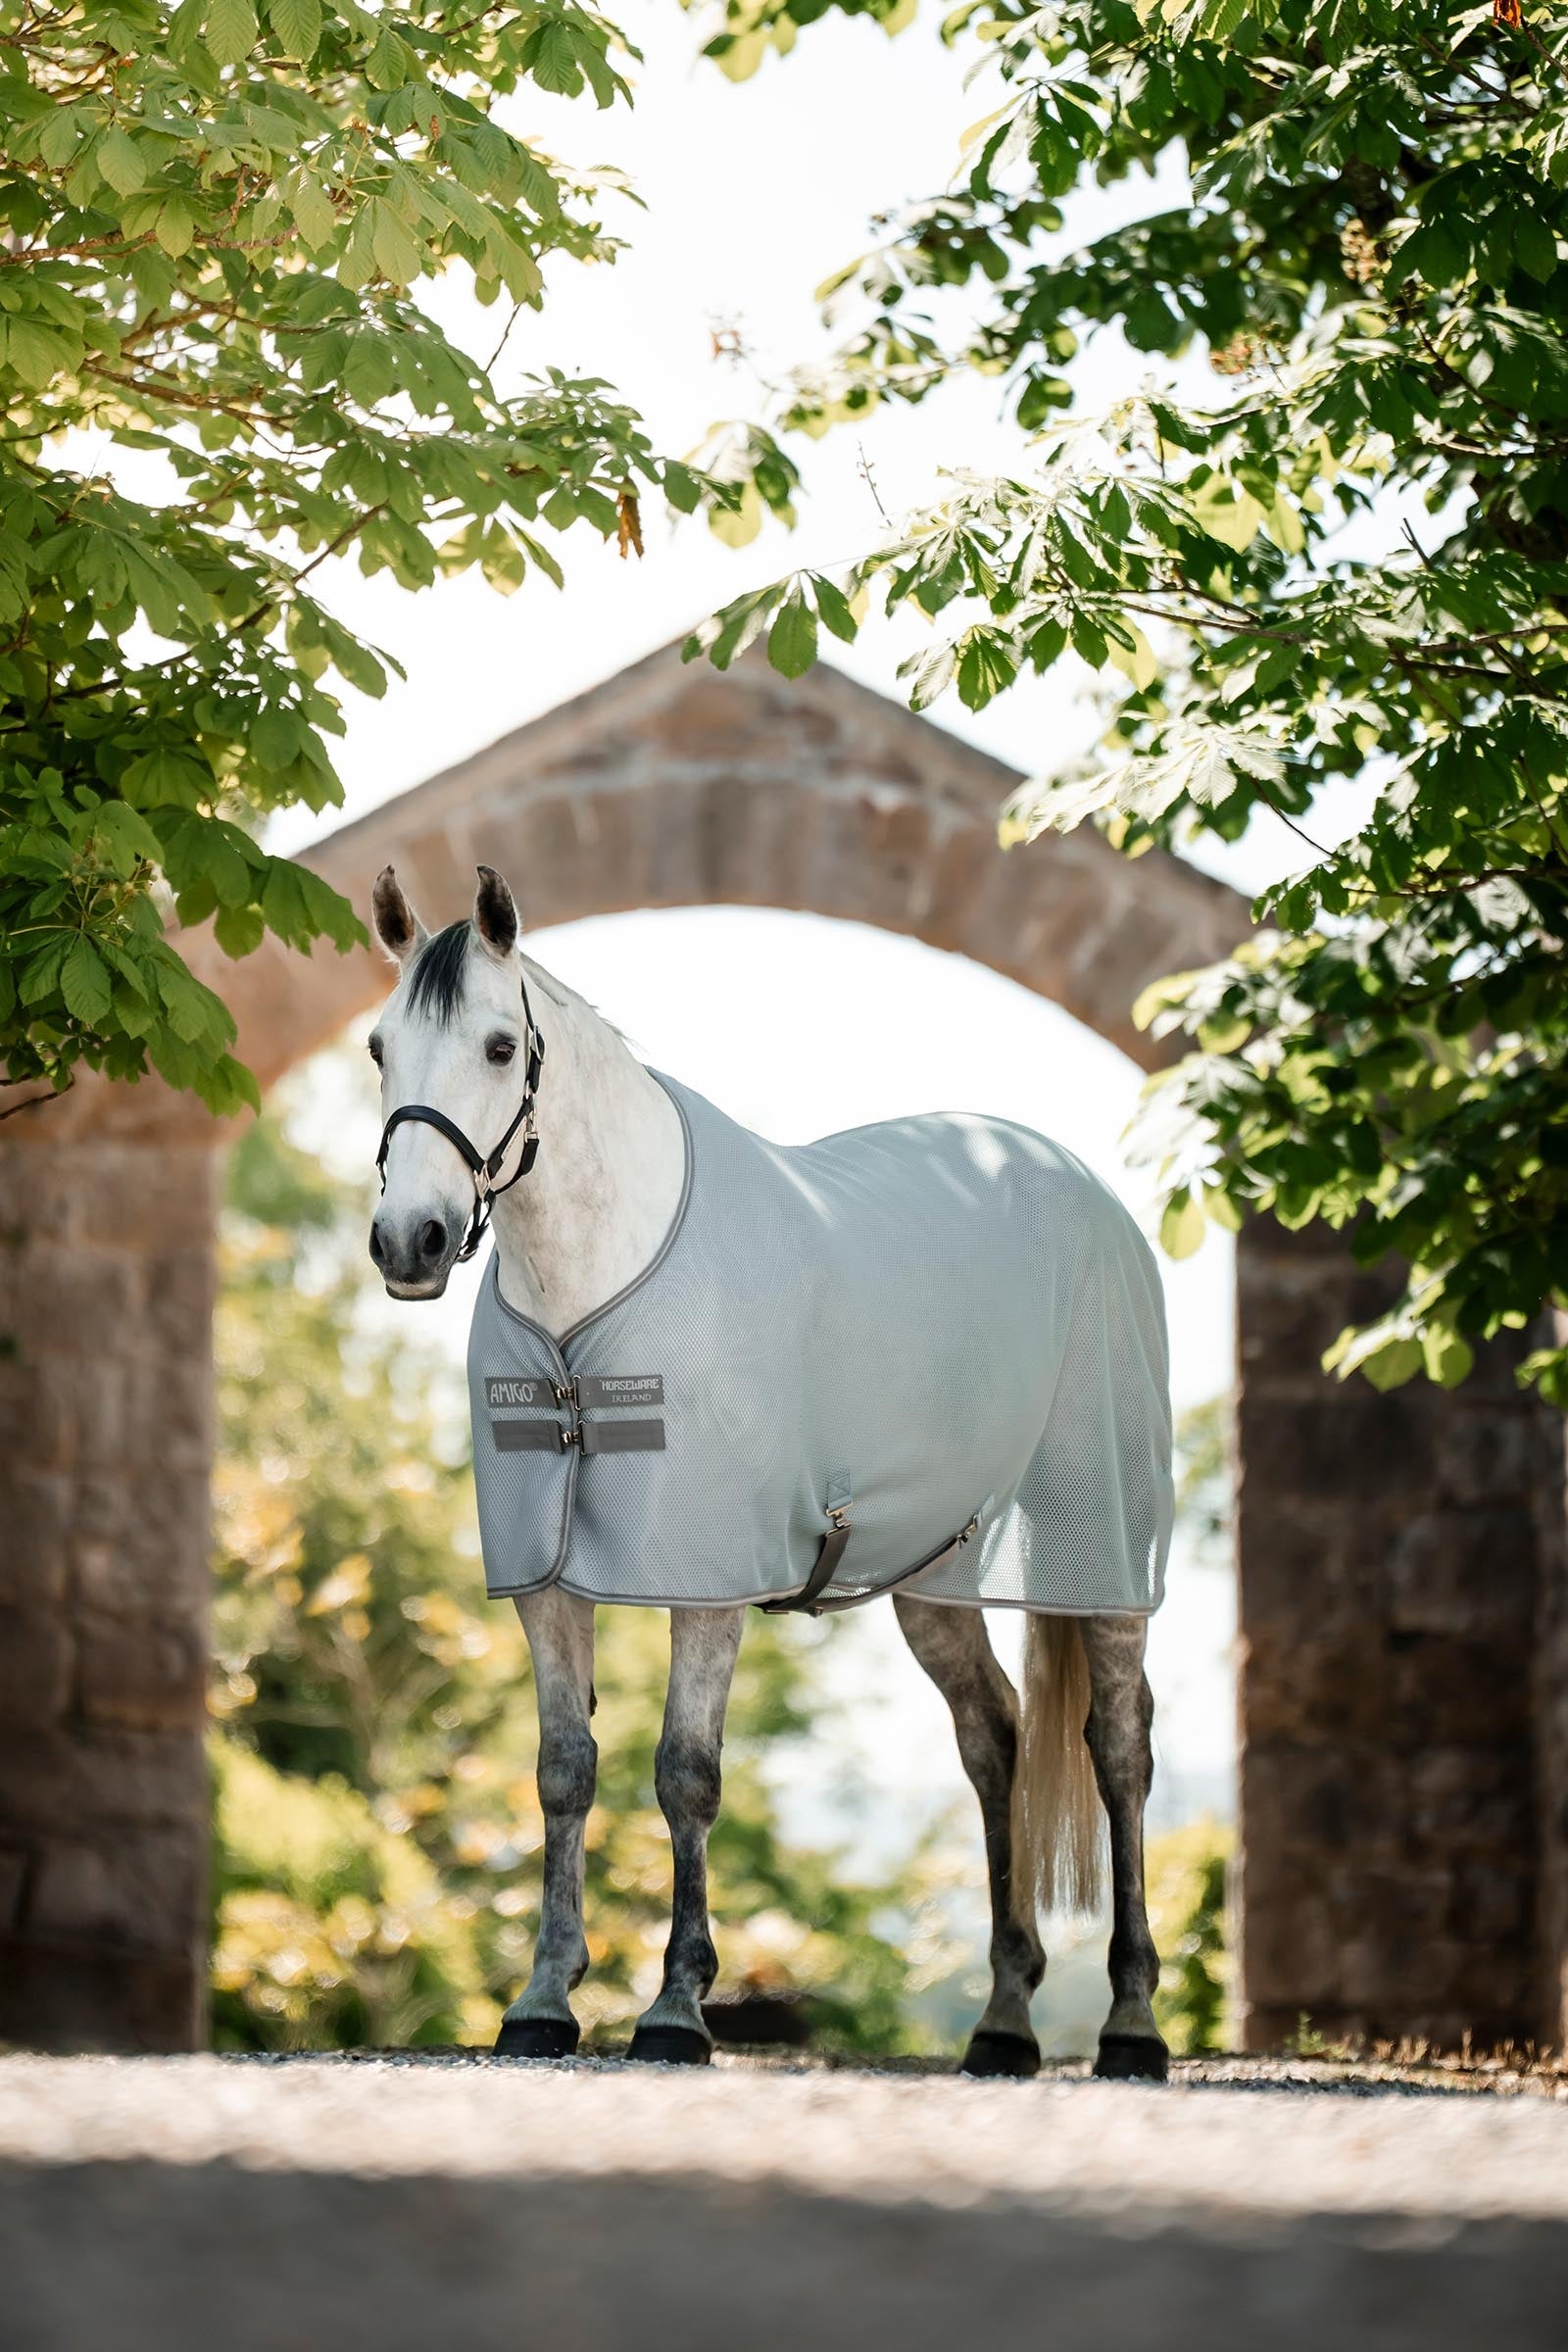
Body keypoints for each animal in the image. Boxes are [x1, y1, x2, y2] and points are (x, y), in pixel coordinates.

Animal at [366, 860, 1173, 2081]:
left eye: (501, 1047)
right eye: (378, 1047)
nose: (407, 1239)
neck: (593, 1294)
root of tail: (1079, 1187)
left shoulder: (707, 1580)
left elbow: (684, 1773)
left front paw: (673, 2011)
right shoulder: (546, 1581)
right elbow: (564, 1769)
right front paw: (543, 2002)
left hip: (1107, 1557)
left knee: (1117, 1750)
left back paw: (1130, 2022)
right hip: (937, 1576)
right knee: (992, 1740)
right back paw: (1002, 2020)